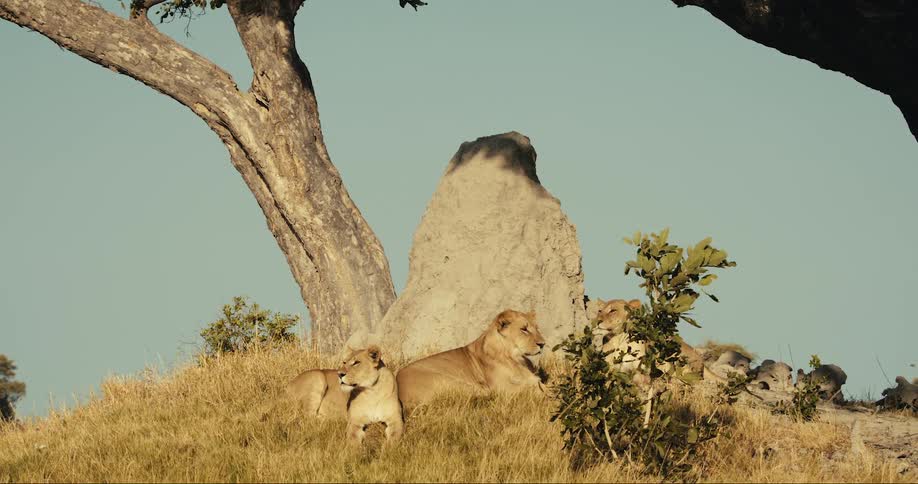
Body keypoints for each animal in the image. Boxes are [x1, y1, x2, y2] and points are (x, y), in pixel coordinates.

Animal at [396, 309, 546, 408]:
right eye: (524, 329)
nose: (543, 344)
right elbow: (529, 389)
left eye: (537, 328)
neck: (516, 359)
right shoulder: (503, 388)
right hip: (452, 381)